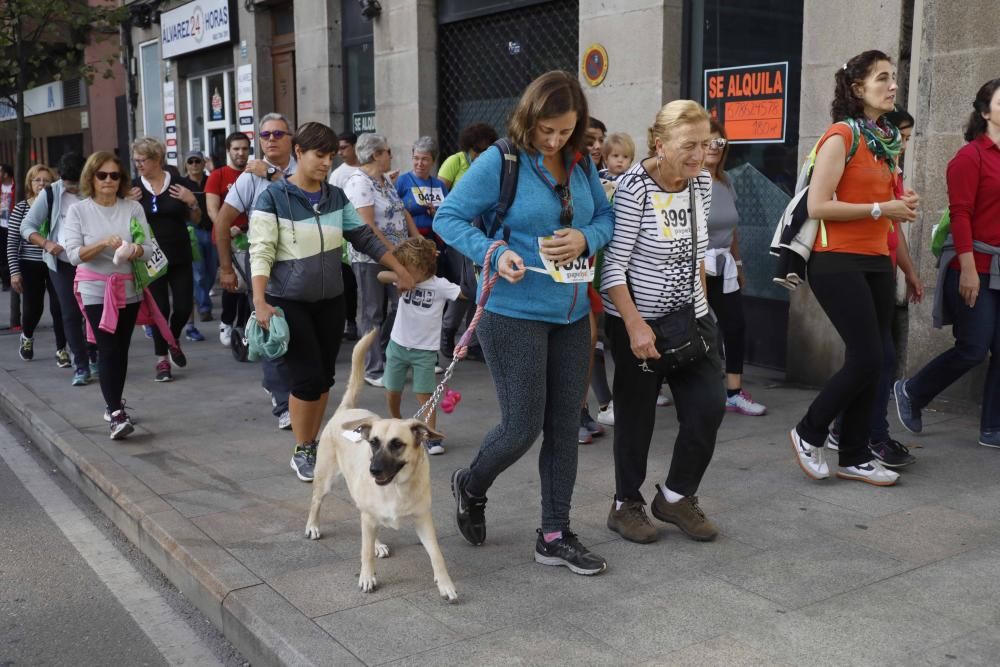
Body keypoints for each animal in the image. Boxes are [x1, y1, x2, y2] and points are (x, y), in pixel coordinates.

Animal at [304, 332, 460, 604]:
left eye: (397, 444)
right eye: (374, 443)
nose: (374, 471)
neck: (396, 487)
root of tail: (346, 410)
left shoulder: (423, 520)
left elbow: (437, 555)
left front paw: (445, 585)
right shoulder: (369, 513)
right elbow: (364, 552)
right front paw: (367, 577)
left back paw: (377, 543)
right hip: (325, 481)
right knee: (317, 502)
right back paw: (313, 526)